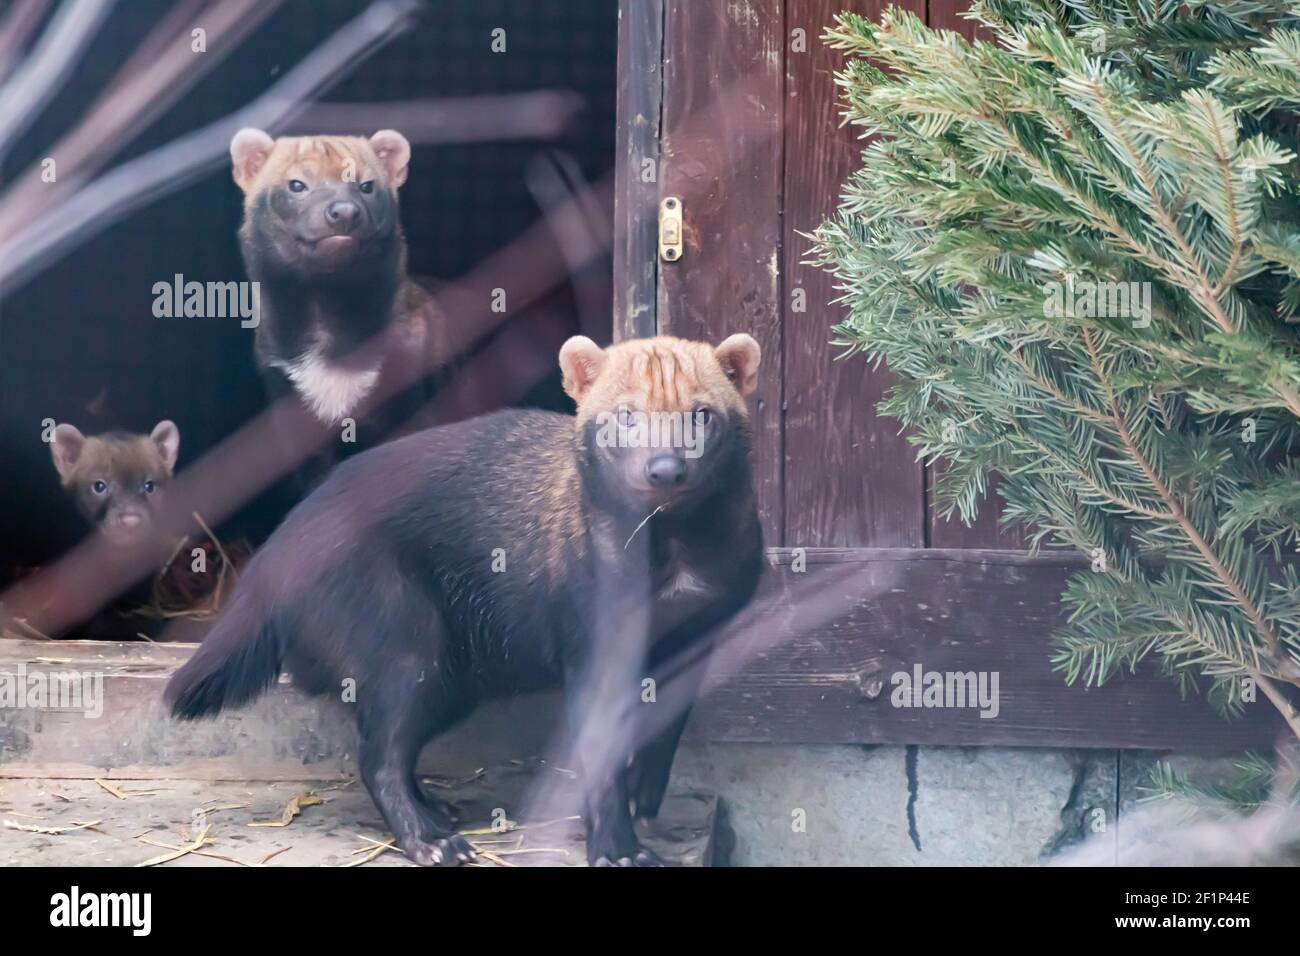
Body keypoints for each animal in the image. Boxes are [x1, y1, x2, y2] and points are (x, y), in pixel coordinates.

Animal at [166, 335, 764, 868]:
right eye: (624, 414)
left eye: (702, 413)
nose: (665, 468)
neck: (672, 569)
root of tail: (279, 546)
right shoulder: (594, 645)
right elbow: (599, 754)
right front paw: (619, 850)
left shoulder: (701, 634)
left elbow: (663, 733)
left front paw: (645, 799)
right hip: (408, 648)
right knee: (378, 757)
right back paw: (433, 841)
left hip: (452, 680)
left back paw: (440, 811)